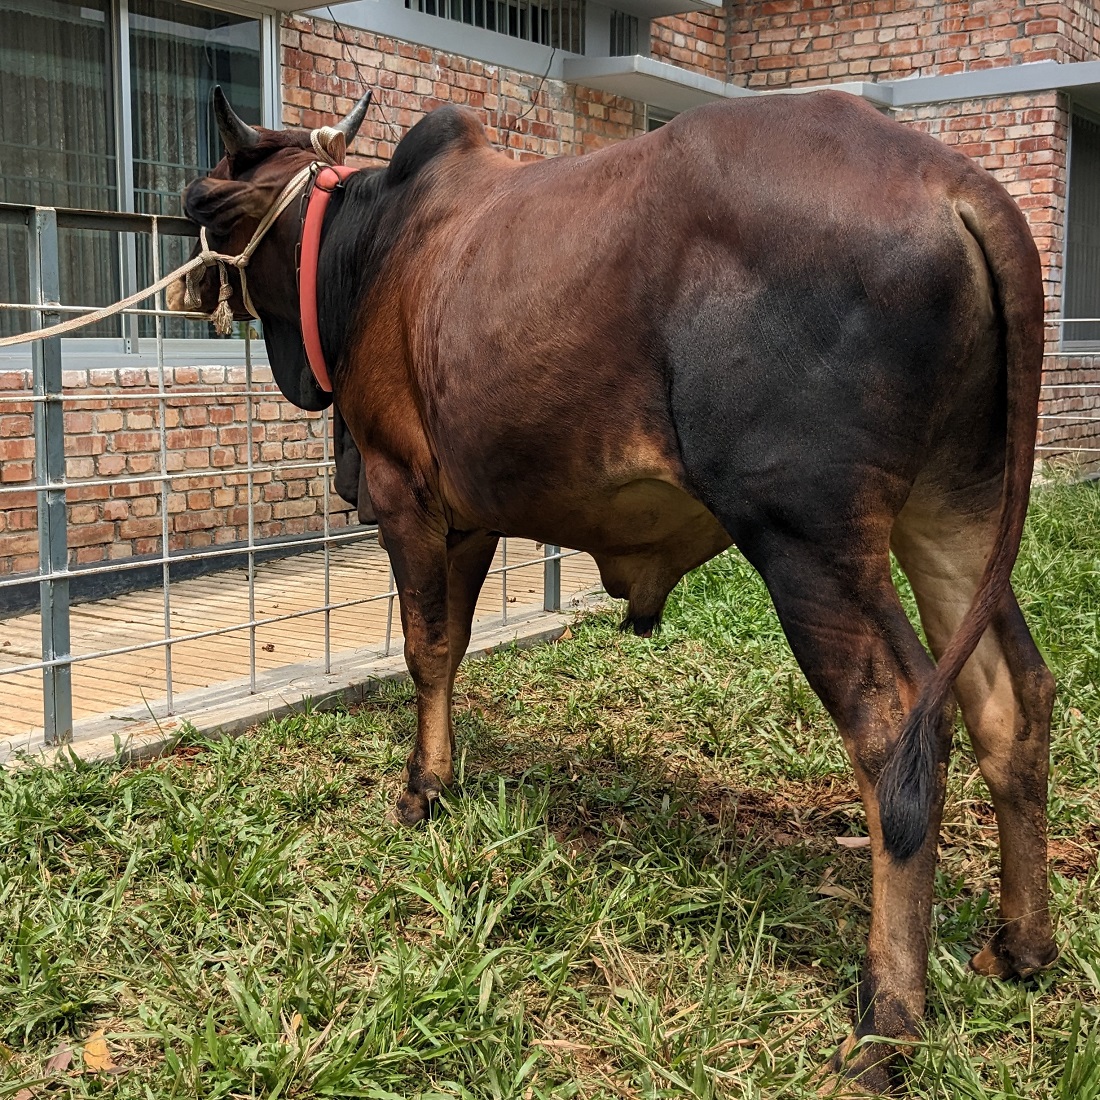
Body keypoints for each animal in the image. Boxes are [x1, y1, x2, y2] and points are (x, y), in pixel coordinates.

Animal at [178, 88, 1056, 1091]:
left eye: (206, 208)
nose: (188, 288)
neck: (374, 249)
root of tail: (953, 182)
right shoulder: (470, 514)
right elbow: (451, 647)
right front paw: (444, 774)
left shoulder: (405, 492)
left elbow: (423, 646)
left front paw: (421, 789)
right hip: (954, 511)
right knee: (1012, 695)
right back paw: (1022, 943)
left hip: (811, 541)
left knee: (901, 732)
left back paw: (886, 1021)